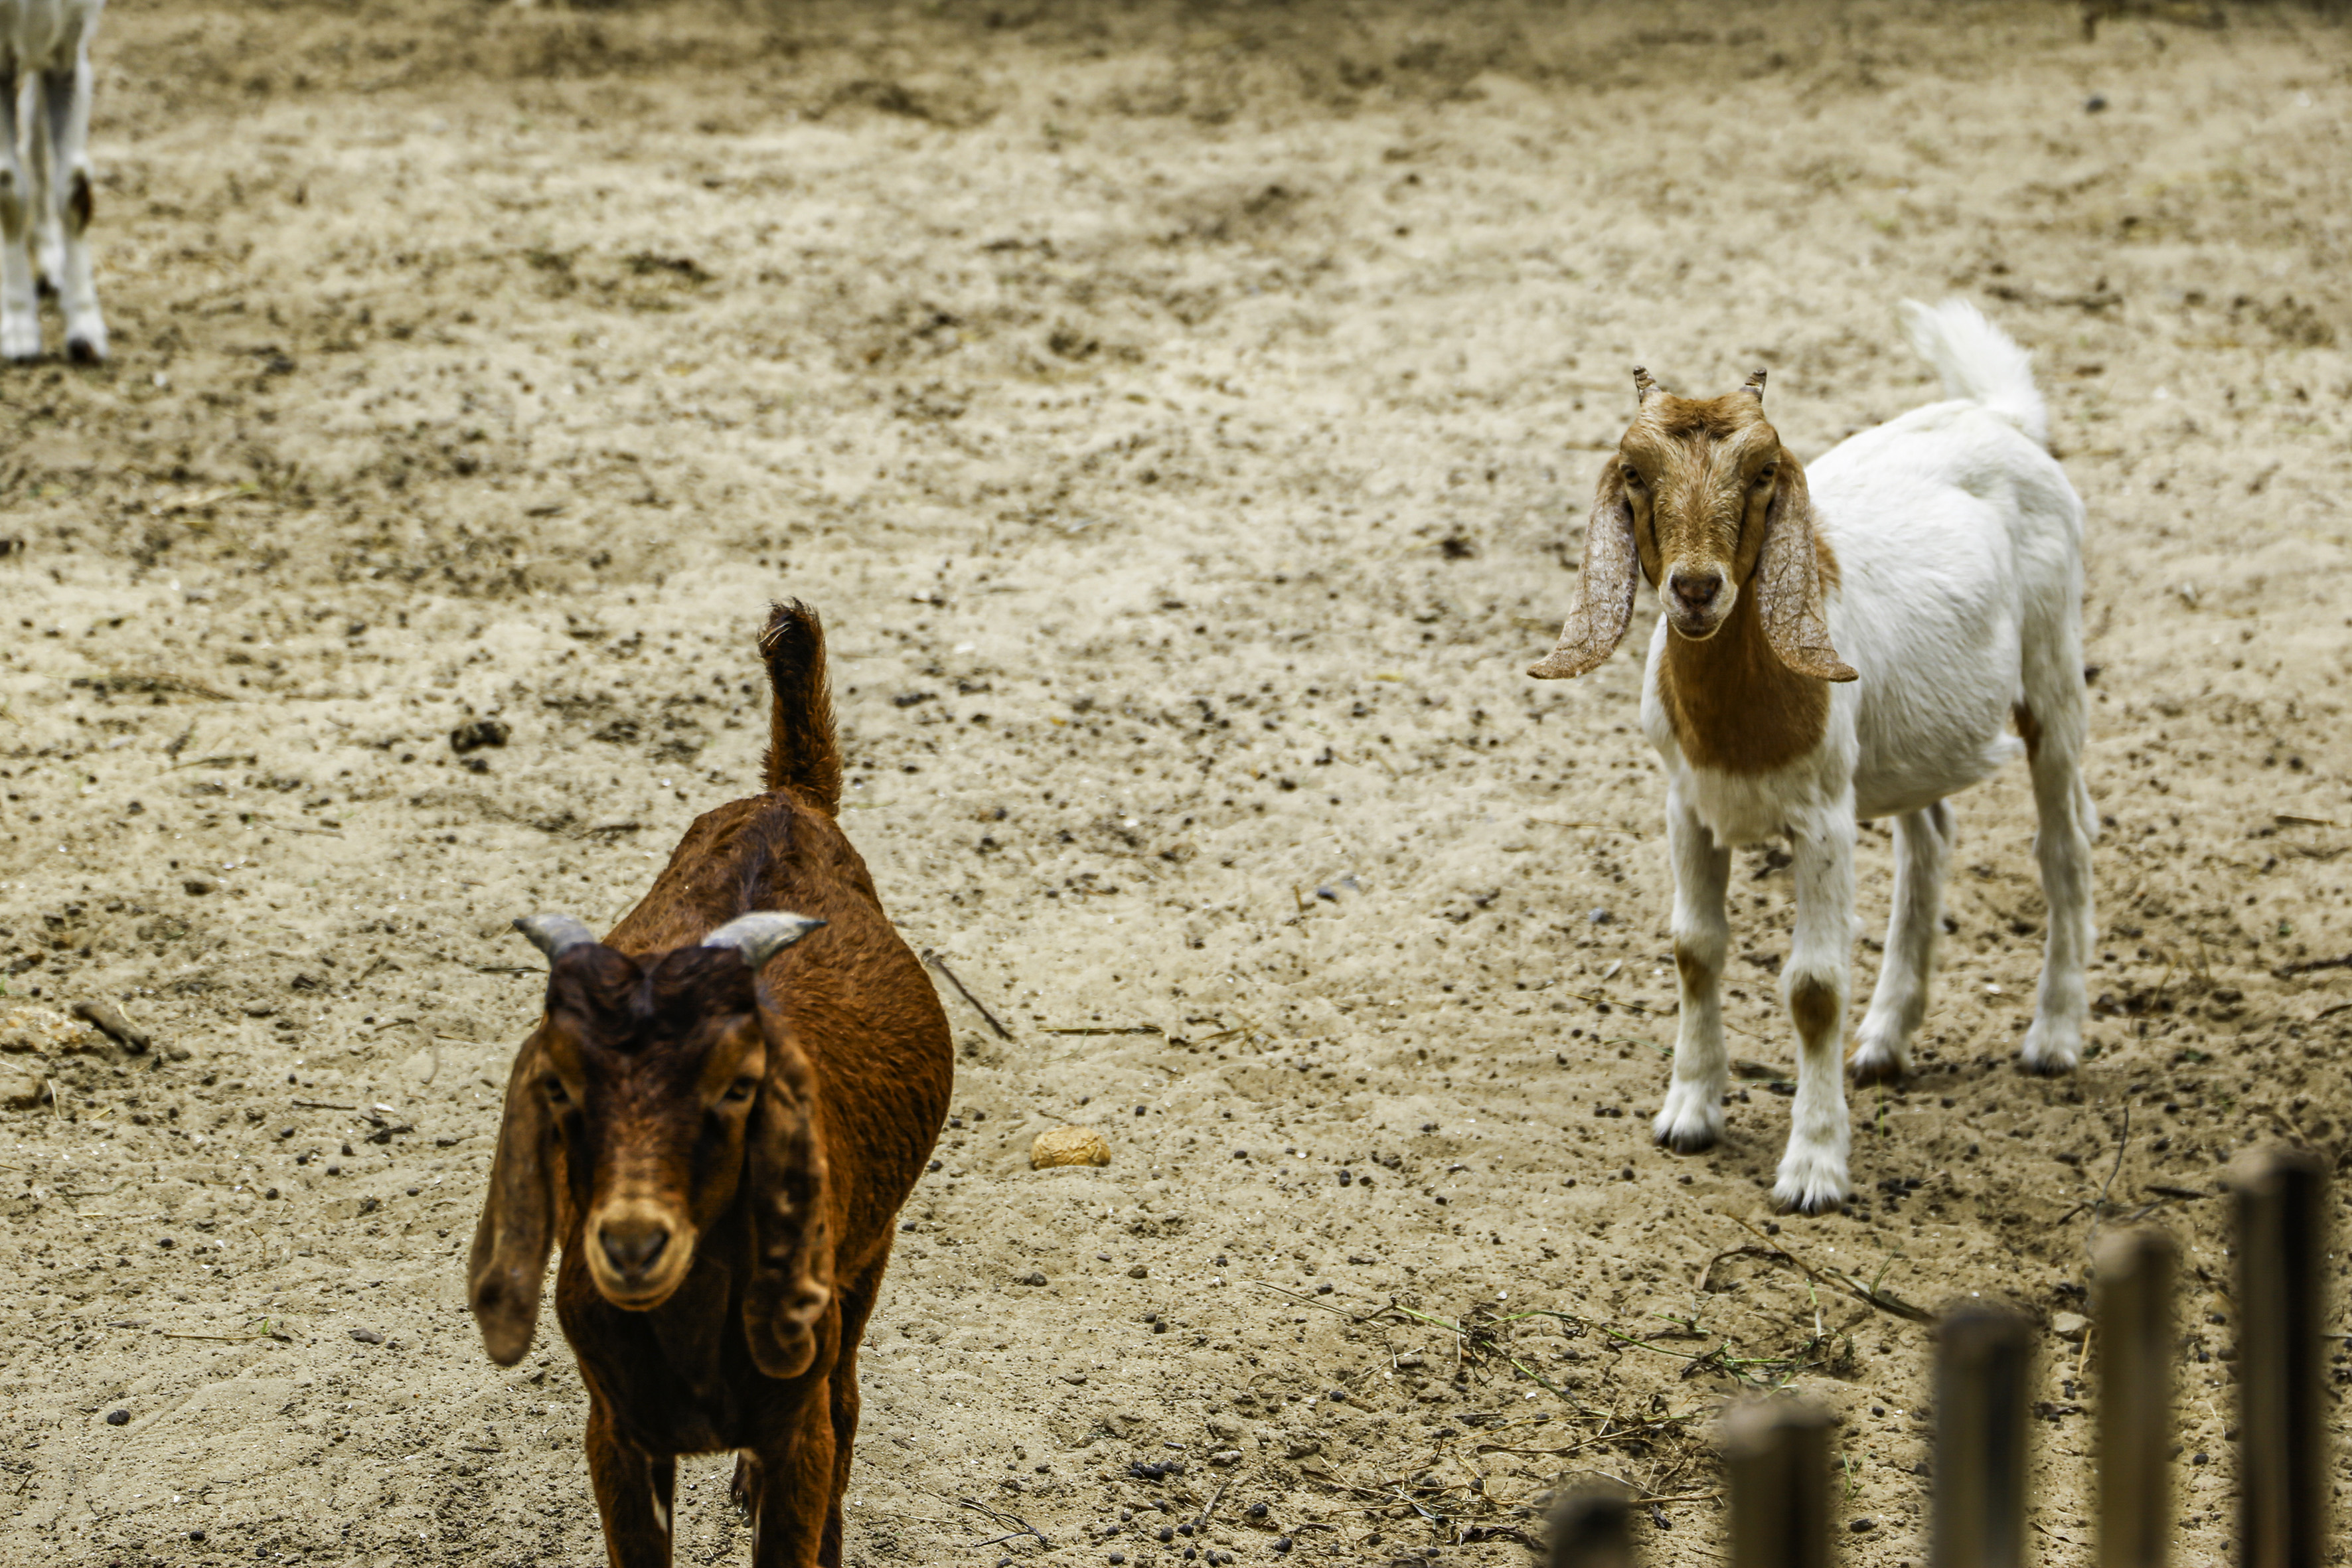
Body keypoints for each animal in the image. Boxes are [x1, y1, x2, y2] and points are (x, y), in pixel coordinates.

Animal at [1, 0, 107, 361]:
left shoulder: (69, 52)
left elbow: (75, 189)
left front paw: (86, 332)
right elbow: (8, 185)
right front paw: (18, 331)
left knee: (35, 136)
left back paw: (49, 263)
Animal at [469, 601, 954, 1567]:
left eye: (736, 1088)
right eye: (561, 1087)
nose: (631, 1242)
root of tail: (786, 799)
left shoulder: (797, 1426)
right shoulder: (616, 1428)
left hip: (867, 1258)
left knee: (848, 1404)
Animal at [1530, 300, 2093, 1214]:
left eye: (1764, 473)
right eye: (1636, 475)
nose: (1696, 589)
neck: (1740, 720)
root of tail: (2001, 419)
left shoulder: (1823, 816)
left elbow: (1815, 987)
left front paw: (1814, 1168)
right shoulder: (1686, 802)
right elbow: (1695, 948)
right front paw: (1689, 1113)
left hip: (2053, 663)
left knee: (2065, 840)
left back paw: (2054, 1036)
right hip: (1906, 738)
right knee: (1931, 838)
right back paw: (1887, 1040)